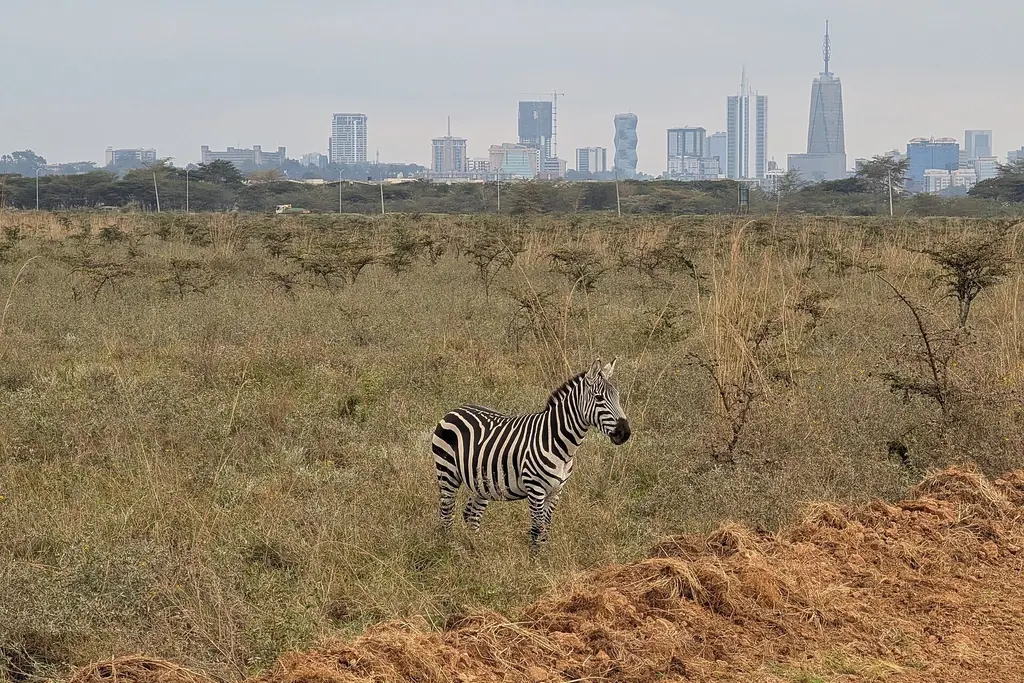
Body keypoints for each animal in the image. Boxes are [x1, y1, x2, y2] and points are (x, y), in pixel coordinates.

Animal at [431, 358, 631, 551]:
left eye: (617, 397)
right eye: (599, 398)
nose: (625, 433)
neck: (557, 442)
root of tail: (455, 410)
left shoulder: (556, 491)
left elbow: (546, 528)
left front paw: (544, 557)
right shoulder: (536, 489)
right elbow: (537, 528)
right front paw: (535, 559)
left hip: (482, 481)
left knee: (471, 514)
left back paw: (476, 549)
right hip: (447, 472)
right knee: (446, 513)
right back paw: (451, 549)